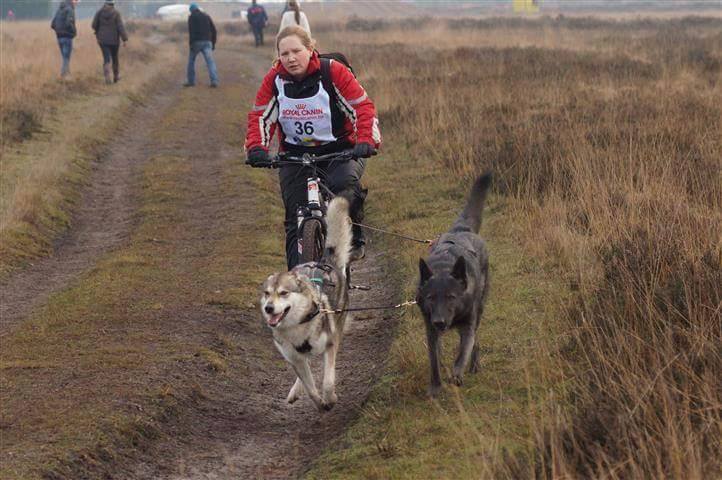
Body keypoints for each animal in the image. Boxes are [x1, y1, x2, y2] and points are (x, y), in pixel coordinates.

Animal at [260, 197, 350, 410]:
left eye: (284, 293)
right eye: (267, 293)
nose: (268, 308)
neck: (297, 326)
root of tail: (325, 262)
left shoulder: (330, 344)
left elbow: (327, 381)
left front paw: (330, 399)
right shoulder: (293, 358)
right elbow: (309, 387)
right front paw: (319, 402)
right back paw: (295, 390)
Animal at [414, 171, 492, 396]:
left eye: (451, 297)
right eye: (430, 298)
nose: (440, 322)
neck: (443, 267)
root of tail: (461, 229)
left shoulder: (467, 326)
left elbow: (462, 353)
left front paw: (456, 374)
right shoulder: (430, 330)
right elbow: (434, 360)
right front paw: (435, 387)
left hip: (479, 310)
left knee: (475, 341)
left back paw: (474, 365)